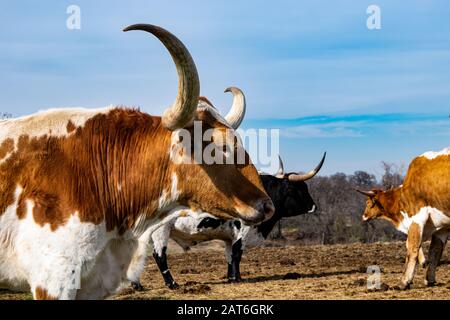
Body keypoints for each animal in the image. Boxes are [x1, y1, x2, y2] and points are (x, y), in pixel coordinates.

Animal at [356, 148, 448, 290]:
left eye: (367, 203)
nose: (363, 216)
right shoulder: (441, 227)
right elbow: (435, 251)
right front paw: (429, 279)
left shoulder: (417, 218)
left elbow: (412, 247)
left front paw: (405, 281)